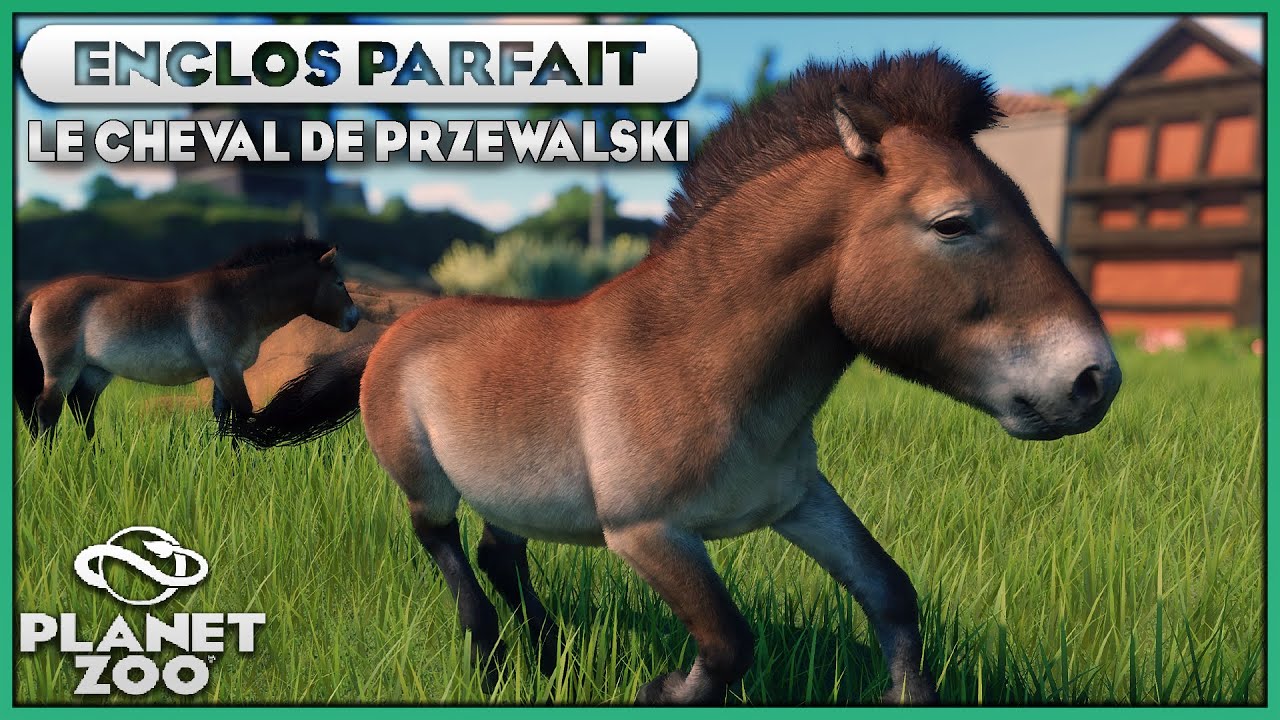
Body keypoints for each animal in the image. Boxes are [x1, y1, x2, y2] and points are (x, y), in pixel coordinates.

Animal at [15, 238, 360, 441]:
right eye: (339, 283)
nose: (354, 318)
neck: (236, 299)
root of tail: (38, 295)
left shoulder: (223, 371)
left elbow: (224, 417)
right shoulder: (226, 368)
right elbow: (243, 414)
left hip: (95, 371)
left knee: (82, 409)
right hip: (62, 370)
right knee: (47, 412)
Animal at [221, 52, 1122, 705]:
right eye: (953, 222)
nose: (1093, 381)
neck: (699, 365)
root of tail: (395, 329)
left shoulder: (800, 501)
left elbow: (892, 596)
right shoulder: (649, 534)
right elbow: (727, 643)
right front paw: (659, 687)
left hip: (510, 486)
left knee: (499, 551)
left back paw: (549, 656)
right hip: (427, 483)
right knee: (448, 550)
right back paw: (494, 664)